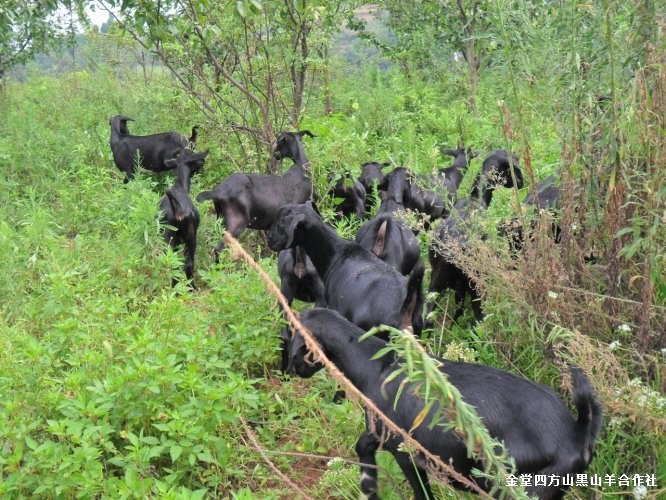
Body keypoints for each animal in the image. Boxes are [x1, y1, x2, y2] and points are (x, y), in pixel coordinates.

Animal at [158, 148, 208, 286]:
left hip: (170, 237)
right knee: (188, 263)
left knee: (175, 263)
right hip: (190, 238)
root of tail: (179, 210)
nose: (203, 161)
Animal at [196, 130, 316, 262]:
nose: (275, 154)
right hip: (237, 221)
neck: (302, 167)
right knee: (219, 249)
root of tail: (218, 191)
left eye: (279, 142)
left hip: (221, 218)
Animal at [286, 308, 600, 500]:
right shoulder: (380, 432)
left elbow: (422, 492)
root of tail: (576, 434)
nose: (292, 369)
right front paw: (369, 486)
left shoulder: (406, 451)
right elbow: (363, 445)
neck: (377, 367)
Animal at [428, 149, 520, 320]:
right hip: (476, 286)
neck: (477, 196)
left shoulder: (459, 288)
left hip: (436, 286)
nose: (520, 183)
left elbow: (458, 308)